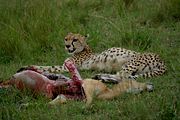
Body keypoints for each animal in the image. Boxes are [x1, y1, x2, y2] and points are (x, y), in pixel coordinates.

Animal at [20, 32, 166, 81]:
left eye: (75, 40)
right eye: (66, 39)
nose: (67, 46)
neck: (84, 48)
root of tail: (162, 60)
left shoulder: (66, 66)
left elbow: (48, 67)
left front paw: (30, 67)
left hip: (130, 63)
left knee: (121, 76)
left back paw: (100, 76)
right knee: (125, 76)